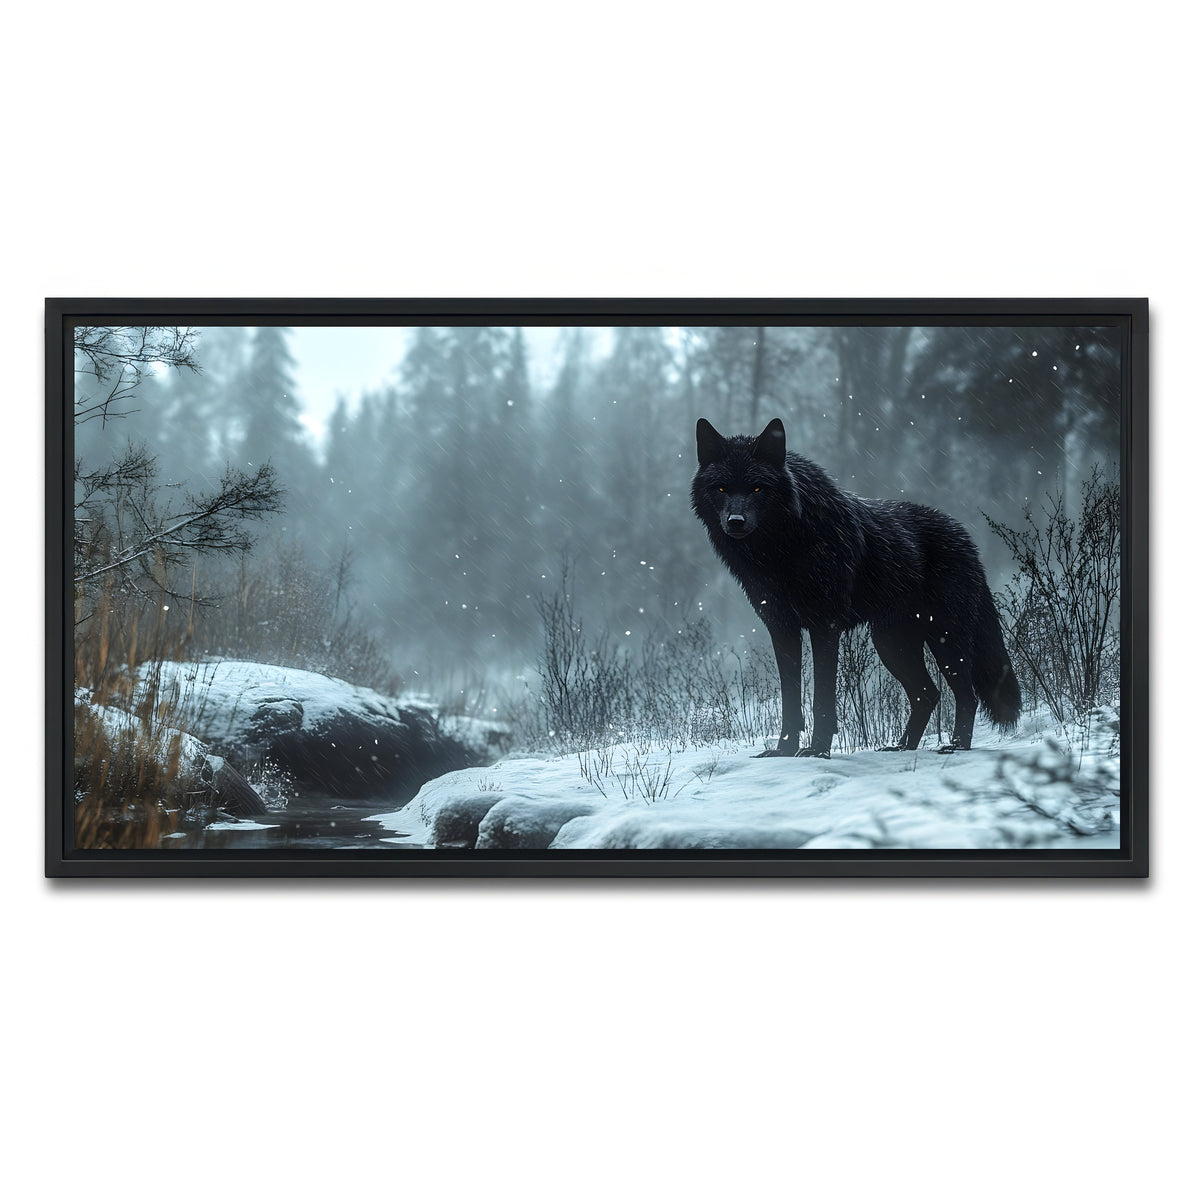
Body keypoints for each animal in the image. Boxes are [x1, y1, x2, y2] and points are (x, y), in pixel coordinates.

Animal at [691, 417, 1020, 757]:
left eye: (757, 488)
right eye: (721, 488)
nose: (735, 521)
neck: (780, 550)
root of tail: (967, 539)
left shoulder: (825, 626)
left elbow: (822, 697)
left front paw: (817, 750)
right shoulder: (781, 628)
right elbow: (790, 700)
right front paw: (784, 751)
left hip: (944, 639)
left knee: (966, 695)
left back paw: (955, 746)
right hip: (891, 644)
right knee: (927, 694)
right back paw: (902, 747)